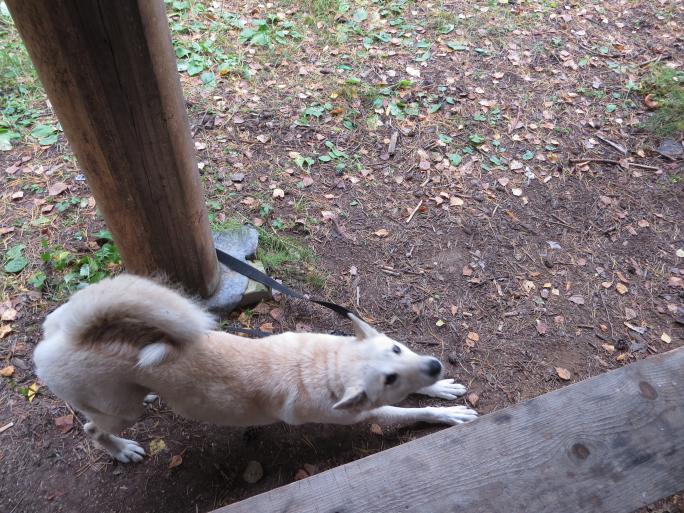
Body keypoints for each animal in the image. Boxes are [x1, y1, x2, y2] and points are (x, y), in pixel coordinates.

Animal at [33, 274, 477, 463]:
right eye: (389, 378)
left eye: (397, 348)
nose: (436, 365)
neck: (328, 366)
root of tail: (71, 335)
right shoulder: (364, 411)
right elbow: (409, 411)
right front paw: (446, 412)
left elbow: (425, 392)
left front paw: (443, 389)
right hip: (120, 410)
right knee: (93, 429)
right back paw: (121, 450)